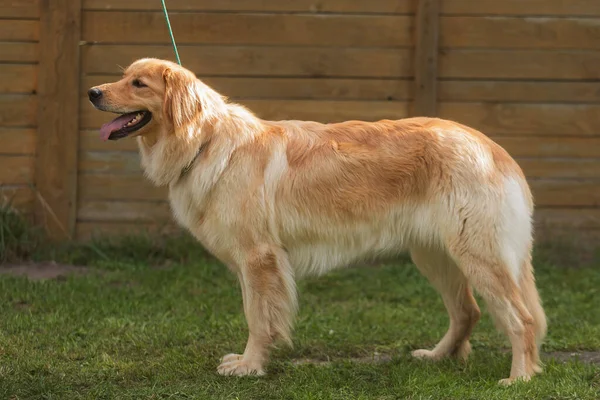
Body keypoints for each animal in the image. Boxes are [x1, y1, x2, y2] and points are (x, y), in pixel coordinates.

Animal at [86, 57, 548, 382]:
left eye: (139, 84)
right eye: (123, 76)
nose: (91, 91)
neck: (205, 141)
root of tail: (492, 148)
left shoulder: (259, 258)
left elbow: (258, 318)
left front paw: (250, 366)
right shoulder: (252, 262)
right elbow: (257, 314)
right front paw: (251, 360)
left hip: (479, 256)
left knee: (521, 319)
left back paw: (519, 378)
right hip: (436, 255)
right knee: (468, 312)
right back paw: (437, 357)